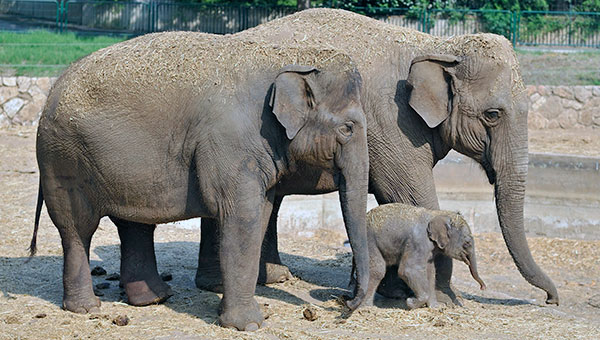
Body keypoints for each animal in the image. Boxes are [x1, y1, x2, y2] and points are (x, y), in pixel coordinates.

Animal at [32, 32, 372, 330]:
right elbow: (242, 217)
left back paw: (154, 299)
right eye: (348, 128)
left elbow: (260, 213)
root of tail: (51, 93)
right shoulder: (230, 142)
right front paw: (249, 325)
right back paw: (86, 308)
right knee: (77, 228)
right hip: (63, 159)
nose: (345, 302)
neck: (290, 55)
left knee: (133, 224)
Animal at [354, 203, 486, 310]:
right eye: (467, 243)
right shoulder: (417, 241)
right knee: (377, 270)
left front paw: (436, 307)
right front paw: (410, 303)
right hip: (368, 241)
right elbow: (408, 270)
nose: (483, 287)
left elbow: (430, 272)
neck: (436, 214)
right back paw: (366, 308)